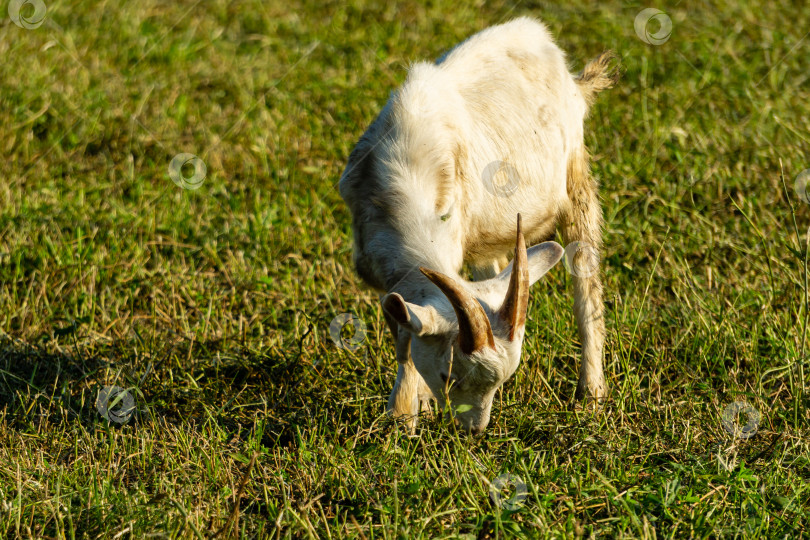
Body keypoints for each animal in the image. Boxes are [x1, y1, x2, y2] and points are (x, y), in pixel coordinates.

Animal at [338, 15, 616, 434]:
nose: (473, 430)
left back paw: (593, 393)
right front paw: (407, 412)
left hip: (576, 181)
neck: (404, 172)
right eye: (448, 376)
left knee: (587, 282)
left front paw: (405, 413)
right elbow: (403, 335)